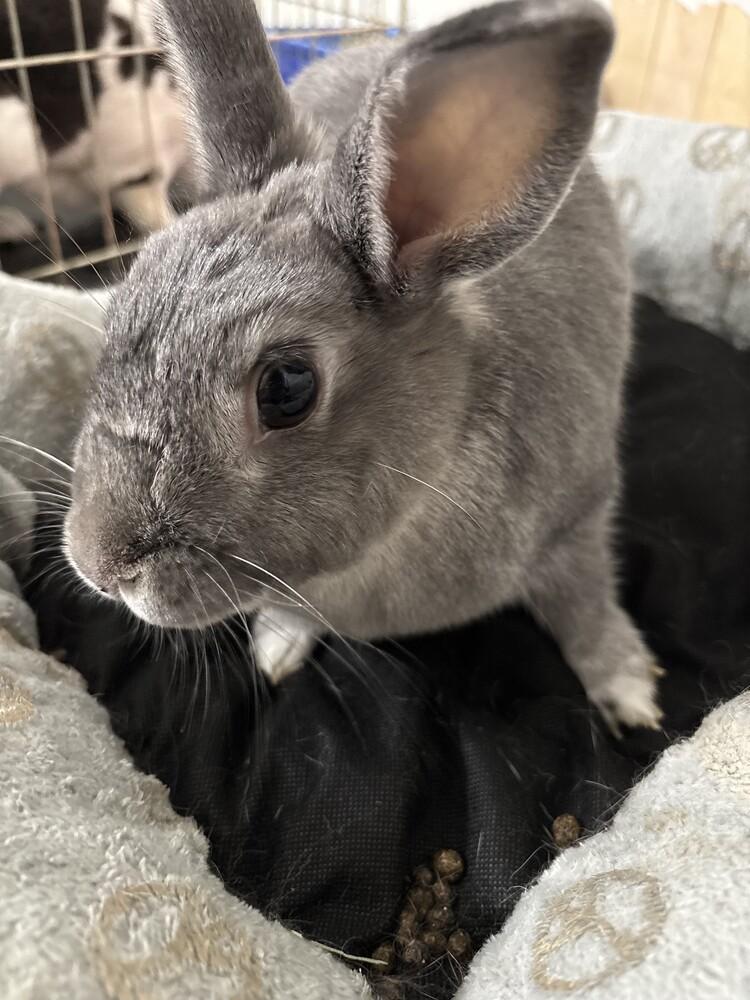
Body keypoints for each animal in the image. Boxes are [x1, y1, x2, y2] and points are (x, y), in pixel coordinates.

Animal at [64, 0, 663, 732]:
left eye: (287, 387)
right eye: (122, 303)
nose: (97, 563)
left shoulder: (579, 519)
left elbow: (586, 608)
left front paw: (631, 692)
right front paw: (277, 646)